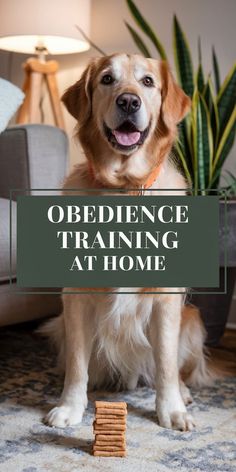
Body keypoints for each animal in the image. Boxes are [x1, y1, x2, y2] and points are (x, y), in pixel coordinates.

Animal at [42, 54, 214, 432]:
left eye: (148, 82)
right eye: (107, 79)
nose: (129, 102)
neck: (122, 188)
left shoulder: (166, 300)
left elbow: (165, 363)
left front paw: (171, 410)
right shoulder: (75, 298)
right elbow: (78, 363)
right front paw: (69, 407)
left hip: (193, 320)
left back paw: (183, 394)